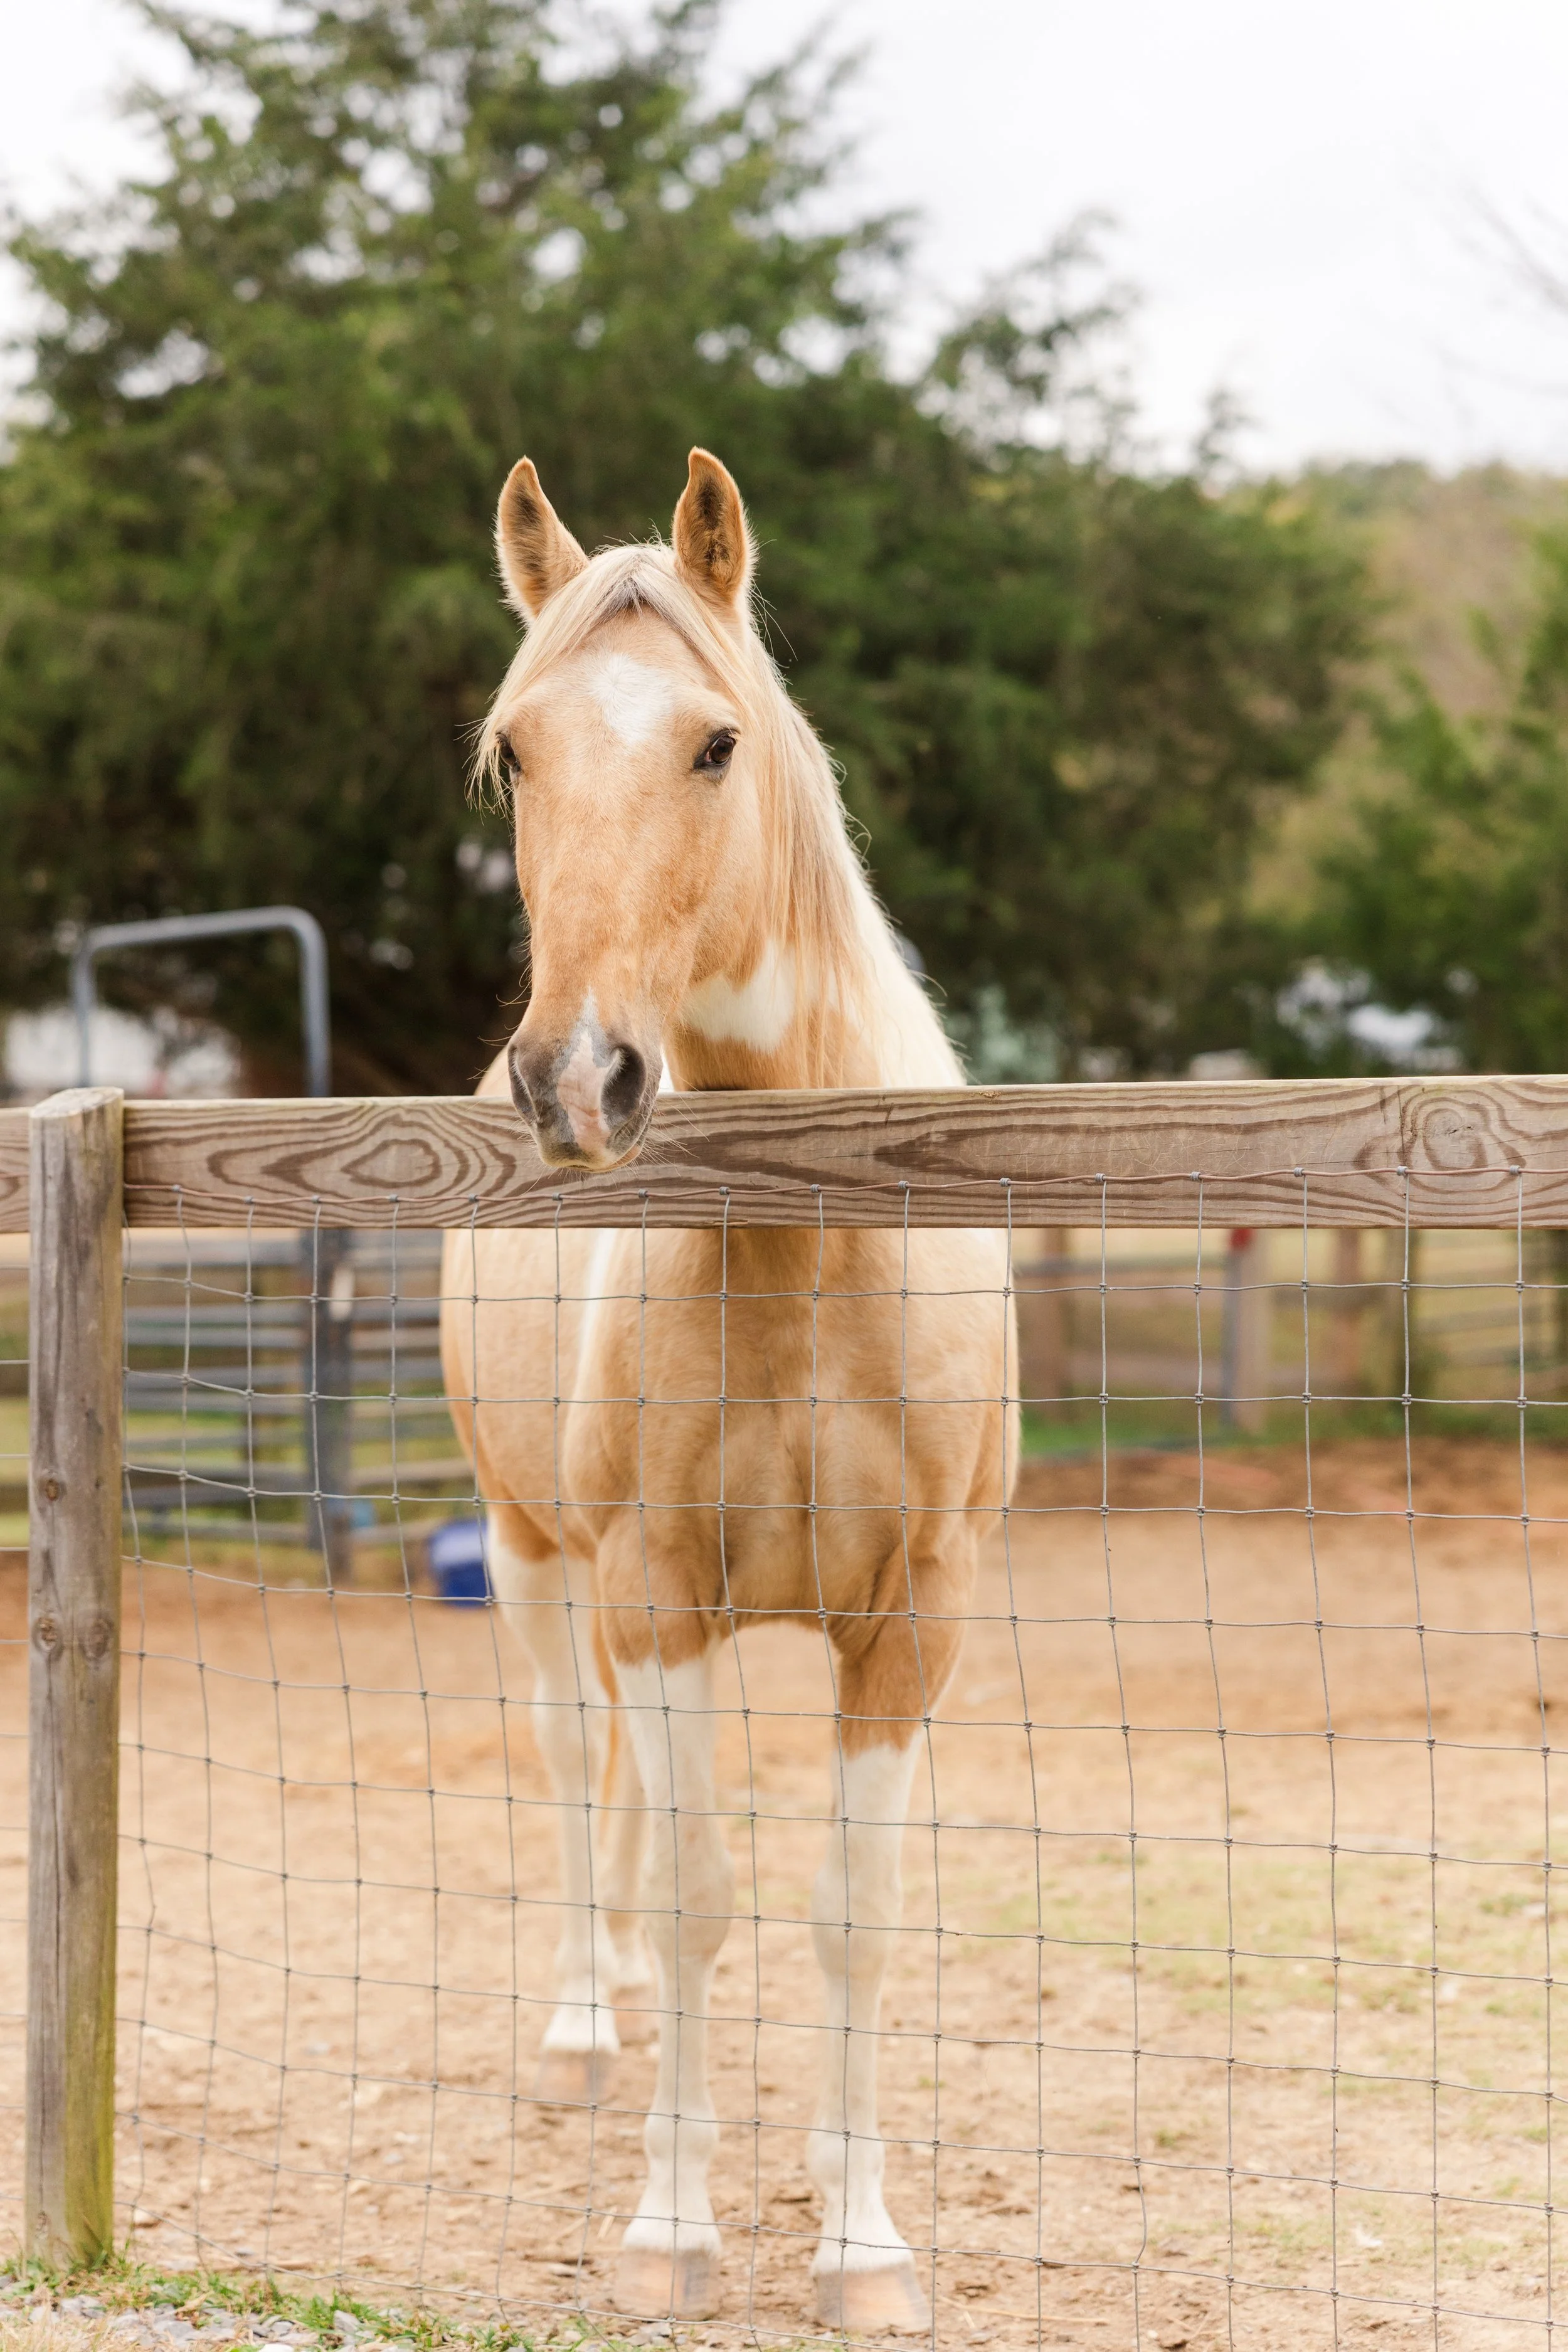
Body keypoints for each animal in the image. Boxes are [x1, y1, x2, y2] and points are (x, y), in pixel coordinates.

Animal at [439, 449, 1017, 2333]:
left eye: (714, 743)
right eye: (514, 751)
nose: (579, 1079)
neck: (805, 1229)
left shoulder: (911, 1618)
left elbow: (853, 1911)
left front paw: (862, 2238)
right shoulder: (658, 1588)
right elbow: (702, 1895)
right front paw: (671, 2224)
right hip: (536, 1551)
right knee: (573, 1756)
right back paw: (581, 2023)